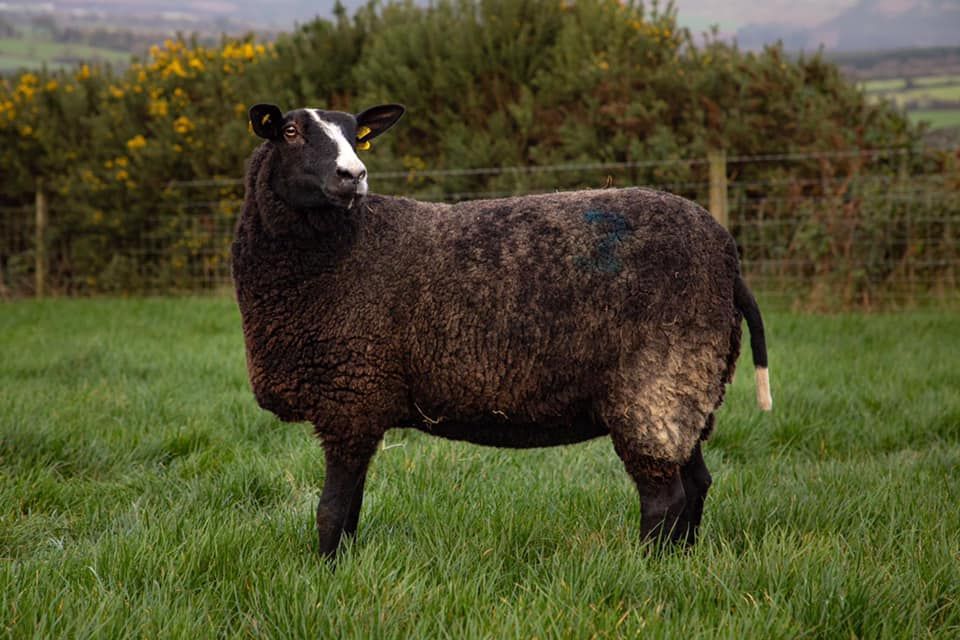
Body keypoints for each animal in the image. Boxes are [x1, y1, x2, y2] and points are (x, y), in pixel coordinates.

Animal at [232, 102, 772, 558]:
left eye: (354, 136)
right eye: (290, 132)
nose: (354, 176)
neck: (349, 247)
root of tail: (727, 256)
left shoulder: (349, 397)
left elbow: (330, 511)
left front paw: (324, 571)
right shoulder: (359, 407)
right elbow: (350, 511)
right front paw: (342, 564)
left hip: (656, 381)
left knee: (665, 496)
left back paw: (649, 567)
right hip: (692, 386)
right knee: (697, 482)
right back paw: (683, 560)